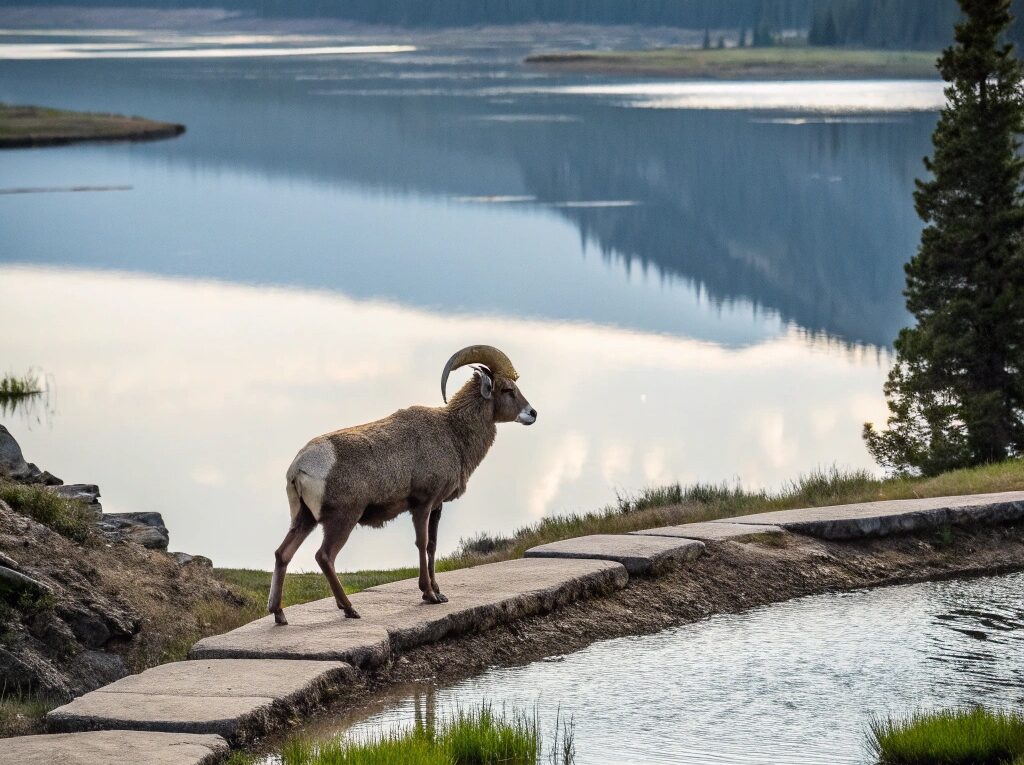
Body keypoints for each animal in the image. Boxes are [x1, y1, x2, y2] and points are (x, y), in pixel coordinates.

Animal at [266, 344, 536, 626]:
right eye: (507, 390)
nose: (532, 413)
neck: (452, 433)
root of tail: (299, 468)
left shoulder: (436, 507)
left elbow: (432, 545)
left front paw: (439, 592)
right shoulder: (422, 504)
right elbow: (422, 542)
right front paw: (429, 594)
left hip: (304, 519)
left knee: (282, 554)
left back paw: (280, 614)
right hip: (342, 519)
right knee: (324, 556)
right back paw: (350, 609)